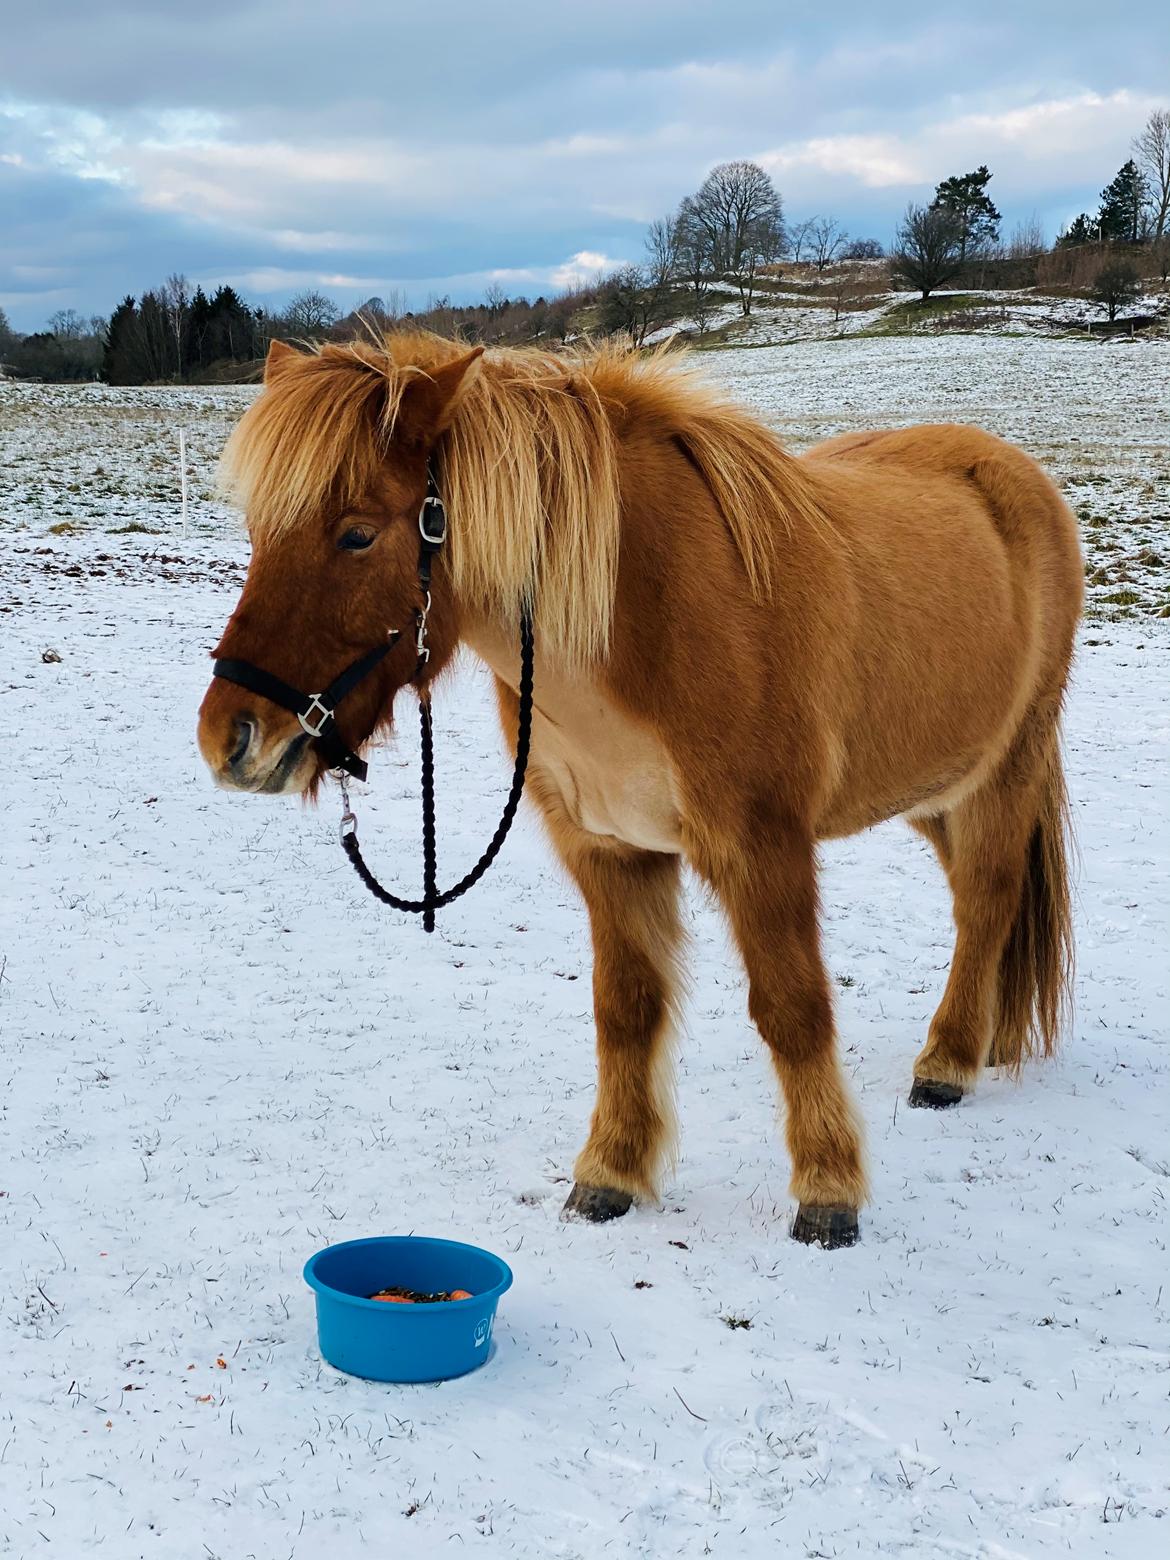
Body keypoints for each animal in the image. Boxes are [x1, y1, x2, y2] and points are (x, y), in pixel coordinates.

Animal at [197, 335, 1085, 1248]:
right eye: (260, 531)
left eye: (357, 534)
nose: (232, 738)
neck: (645, 616)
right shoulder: (610, 852)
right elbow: (626, 1011)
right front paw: (610, 1174)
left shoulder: (762, 847)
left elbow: (793, 1008)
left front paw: (828, 1191)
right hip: (933, 790)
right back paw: (987, 1040)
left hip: (1003, 771)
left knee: (987, 898)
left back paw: (949, 1063)